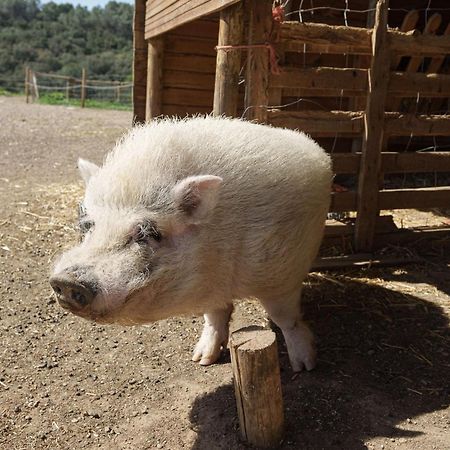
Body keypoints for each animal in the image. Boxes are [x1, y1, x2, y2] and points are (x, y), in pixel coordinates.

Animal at [49, 117, 332, 372]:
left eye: (148, 233)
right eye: (89, 225)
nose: (67, 282)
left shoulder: (283, 272)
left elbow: (284, 317)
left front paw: (305, 367)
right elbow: (214, 315)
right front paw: (201, 360)